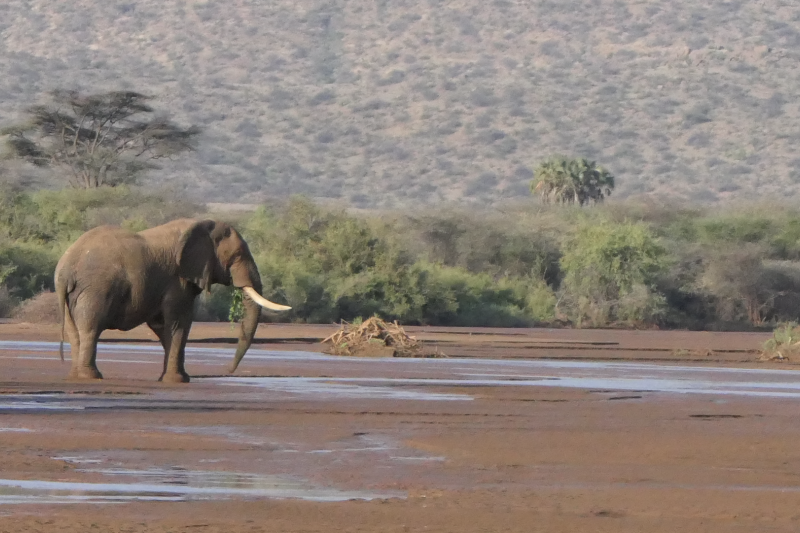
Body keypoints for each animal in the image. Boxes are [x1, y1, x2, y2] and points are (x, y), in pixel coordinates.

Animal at [54, 217, 290, 382]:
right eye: (238, 256)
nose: (228, 370)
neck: (202, 225)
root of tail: (66, 268)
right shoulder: (177, 279)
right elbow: (179, 323)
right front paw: (178, 380)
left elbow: (162, 326)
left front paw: (174, 378)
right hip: (96, 289)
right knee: (91, 328)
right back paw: (92, 376)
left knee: (75, 332)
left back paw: (76, 376)